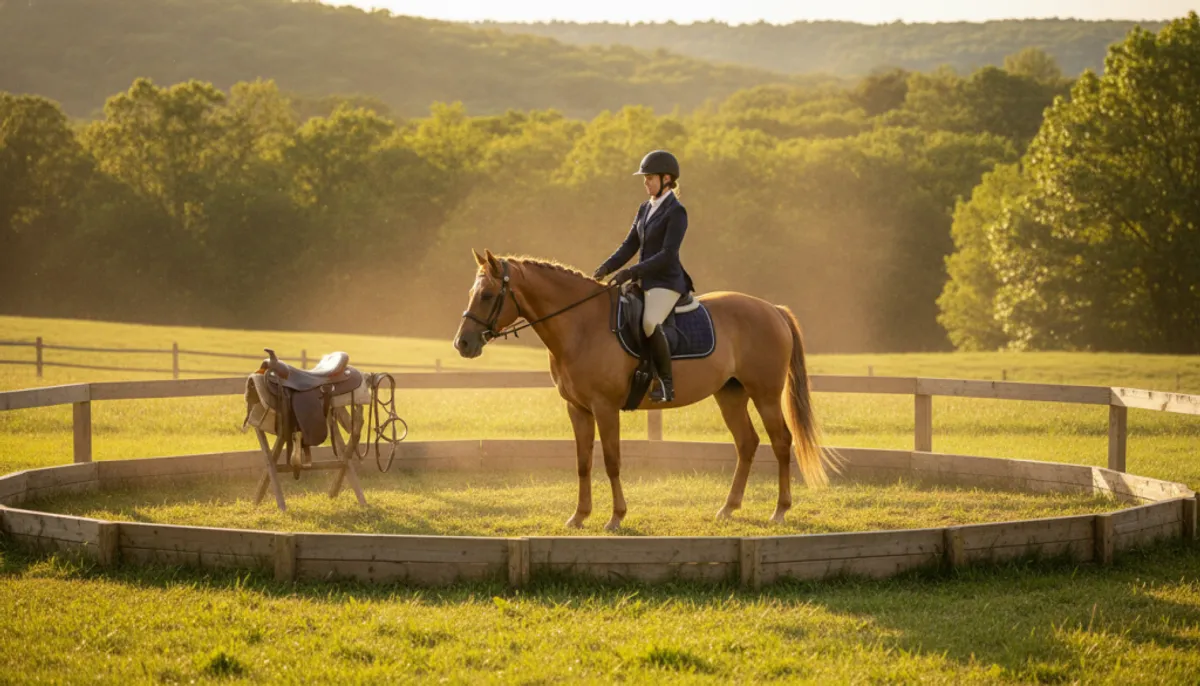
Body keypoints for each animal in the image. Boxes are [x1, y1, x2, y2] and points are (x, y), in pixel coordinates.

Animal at [452, 249, 839, 531]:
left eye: (487, 295)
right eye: (472, 293)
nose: (463, 344)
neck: (581, 326)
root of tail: (772, 309)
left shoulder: (605, 407)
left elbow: (611, 461)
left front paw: (615, 517)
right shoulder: (578, 409)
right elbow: (582, 462)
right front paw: (579, 516)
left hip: (766, 395)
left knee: (781, 442)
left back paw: (780, 511)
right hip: (730, 395)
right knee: (747, 443)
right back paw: (728, 508)